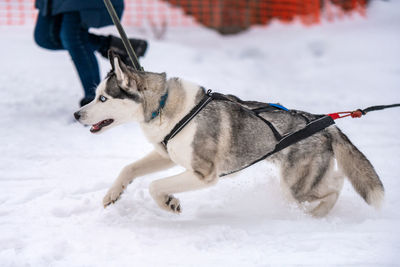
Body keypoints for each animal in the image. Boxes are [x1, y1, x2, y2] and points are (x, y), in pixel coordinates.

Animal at [73, 52, 382, 218]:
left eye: (102, 98)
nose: (76, 115)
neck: (165, 106)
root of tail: (326, 124)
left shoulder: (203, 174)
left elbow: (155, 186)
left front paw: (169, 202)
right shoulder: (167, 155)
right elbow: (129, 168)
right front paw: (112, 194)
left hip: (297, 187)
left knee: (335, 187)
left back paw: (316, 215)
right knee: (337, 180)